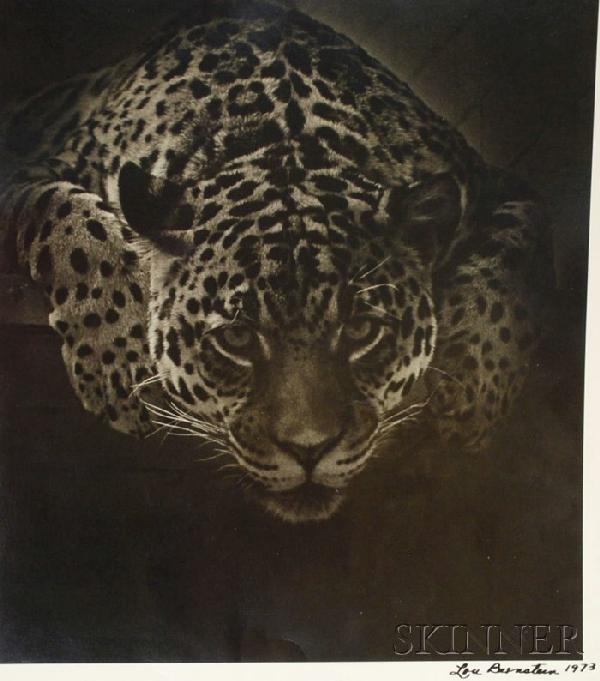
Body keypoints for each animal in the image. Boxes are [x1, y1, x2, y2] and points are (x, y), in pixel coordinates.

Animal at [0, 0, 552, 522]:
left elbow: (520, 242)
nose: (309, 450)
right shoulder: (28, 166)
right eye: (238, 338)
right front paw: (120, 364)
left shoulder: (497, 185)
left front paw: (475, 389)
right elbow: (67, 216)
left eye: (361, 330)